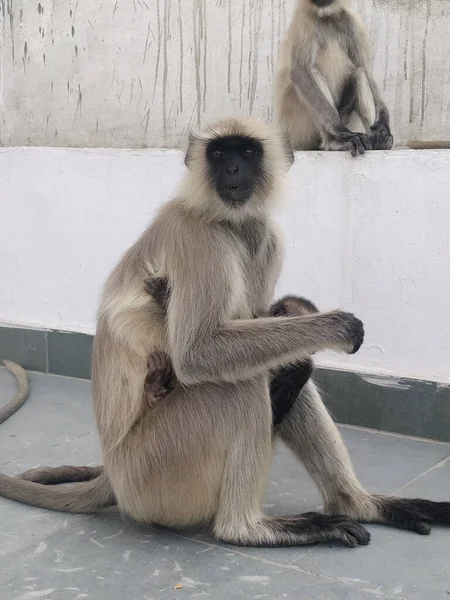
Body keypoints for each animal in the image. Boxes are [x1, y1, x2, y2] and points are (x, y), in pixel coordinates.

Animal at [1, 118, 448, 548]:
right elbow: (199, 353)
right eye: (219, 154)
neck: (227, 221)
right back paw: (247, 529)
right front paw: (335, 326)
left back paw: (358, 504)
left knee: (271, 370)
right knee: (238, 384)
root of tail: (113, 472)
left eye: (247, 153)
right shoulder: (199, 238)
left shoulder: (267, 236)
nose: (232, 169)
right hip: (152, 472)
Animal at [274, 0, 394, 157]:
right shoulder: (304, 20)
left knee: (359, 73)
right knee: (307, 77)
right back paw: (334, 142)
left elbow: (364, 67)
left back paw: (377, 140)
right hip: (298, 127)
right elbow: (300, 71)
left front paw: (383, 119)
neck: (327, 16)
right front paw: (338, 128)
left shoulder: (353, 21)